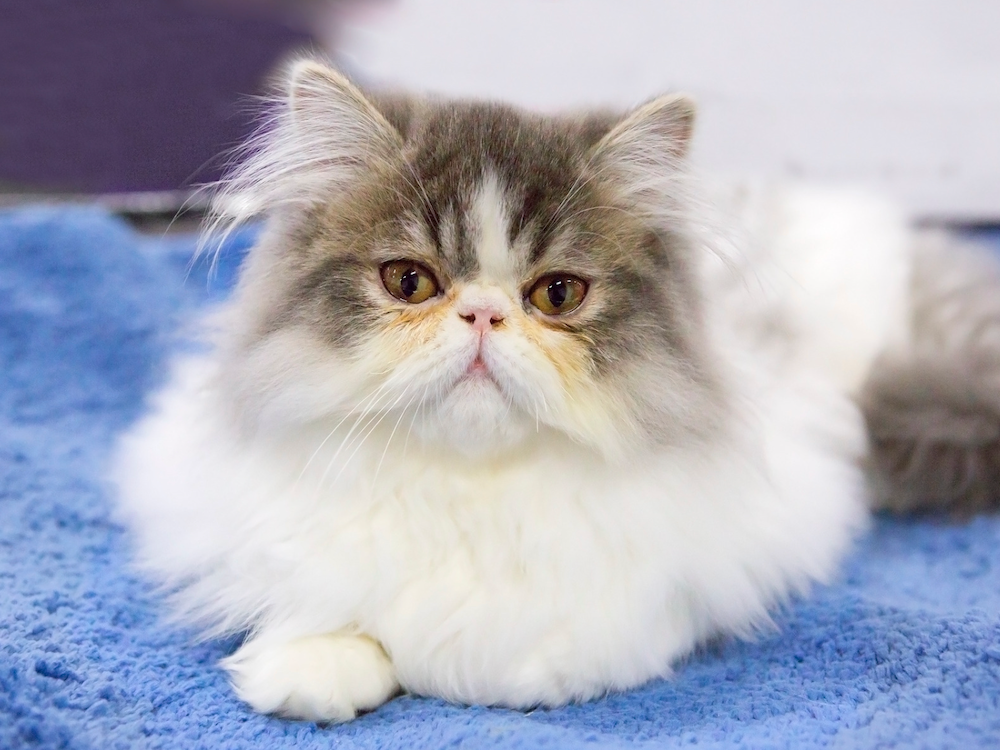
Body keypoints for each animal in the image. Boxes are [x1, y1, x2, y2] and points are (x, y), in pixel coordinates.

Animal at [111, 58, 1000, 724]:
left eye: (558, 295)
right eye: (410, 281)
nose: (483, 313)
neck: (468, 485)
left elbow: (600, 631)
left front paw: (506, 672)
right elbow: (301, 595)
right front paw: (315, 667)